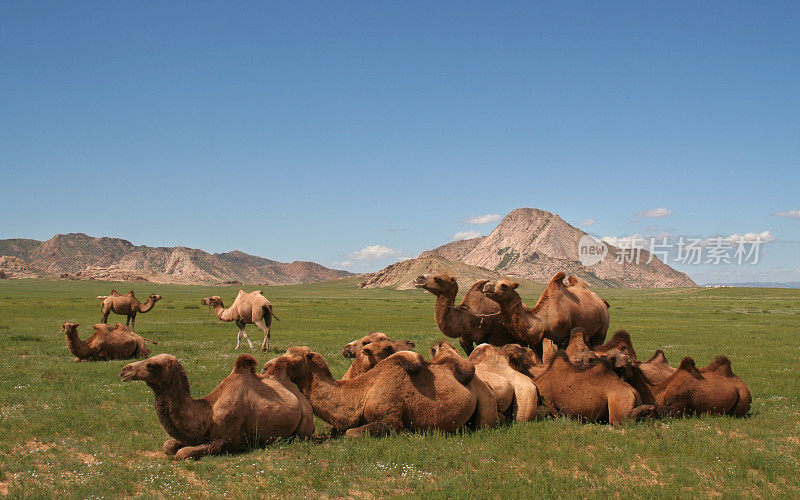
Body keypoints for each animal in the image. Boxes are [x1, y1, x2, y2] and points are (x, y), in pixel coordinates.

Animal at [119, 350, 312, 458]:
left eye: (152, 365)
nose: (124, 370)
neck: (207, 412)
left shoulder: (228, 440)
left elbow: (183, 453)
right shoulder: (197, 436)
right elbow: (168, 446)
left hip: (305, 422)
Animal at [260, 346, 496, 436]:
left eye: (293, 360)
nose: (265, 367)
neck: (363, 392)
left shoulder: (391, 419)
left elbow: (351, 433)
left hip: (486, 404)